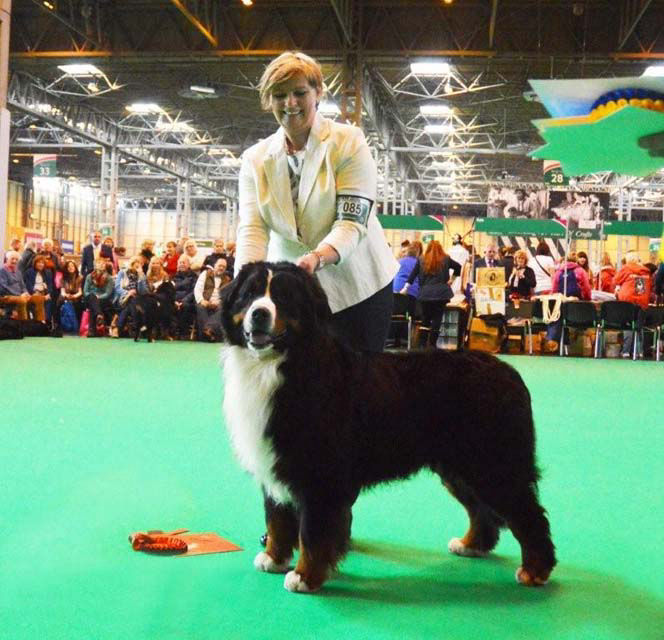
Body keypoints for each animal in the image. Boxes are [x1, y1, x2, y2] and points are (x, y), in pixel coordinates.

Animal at [220, 261, 556, 593]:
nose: (259, 313)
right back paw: (471, 545)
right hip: (460, 467)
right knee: (481, 510)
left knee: (529, 515)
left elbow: (312, 532)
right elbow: (277, 518)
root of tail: (509, 372)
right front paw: (273, 558)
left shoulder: (320, 474)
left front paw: (304, 576)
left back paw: (535, 570)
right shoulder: (275, 460)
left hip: (493, 464)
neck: (279, 365)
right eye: (249, 295)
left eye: (283, 298)